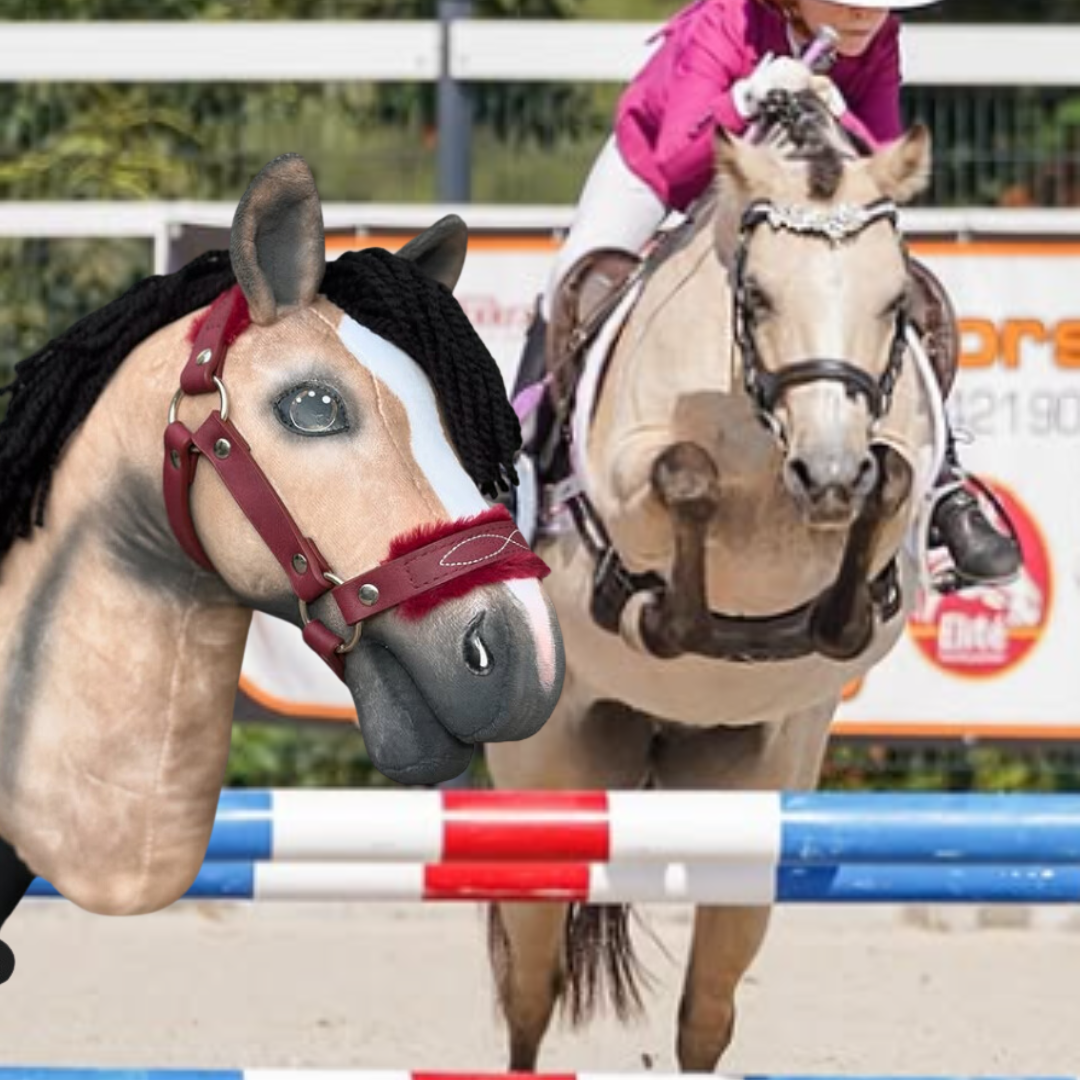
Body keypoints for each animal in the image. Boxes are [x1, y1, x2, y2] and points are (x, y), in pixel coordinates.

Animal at [485, 93, 944, 1072]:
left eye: (895, 304)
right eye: (760, 297)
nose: (828, 476)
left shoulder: (884, 480)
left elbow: (888, 491)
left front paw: (834, 602)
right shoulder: (623, 486)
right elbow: (680, 477)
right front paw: (667, 618)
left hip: (748, 806)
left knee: (705, 1013)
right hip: (545, 778)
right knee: (532, 991)